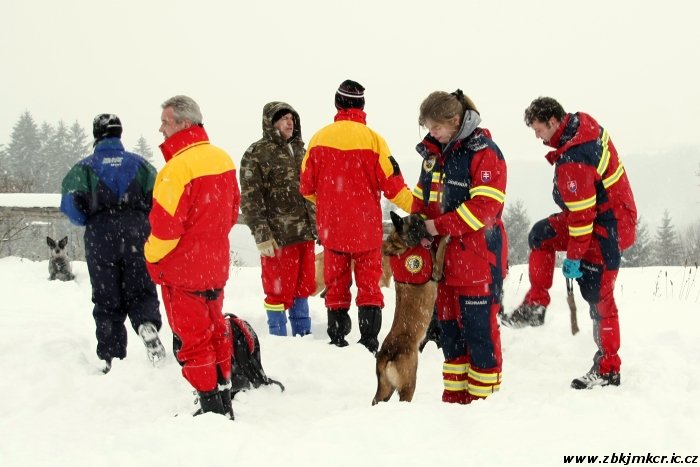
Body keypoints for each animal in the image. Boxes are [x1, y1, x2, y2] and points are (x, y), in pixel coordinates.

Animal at [372, 212, 448, 405]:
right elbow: (441, 249)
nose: (429, 234)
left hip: (385, 390)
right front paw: (445, 235)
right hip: (408, 383)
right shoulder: (436, 271)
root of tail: (386, 355)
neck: (402, 244)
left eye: (422, 222)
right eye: (415, 226)